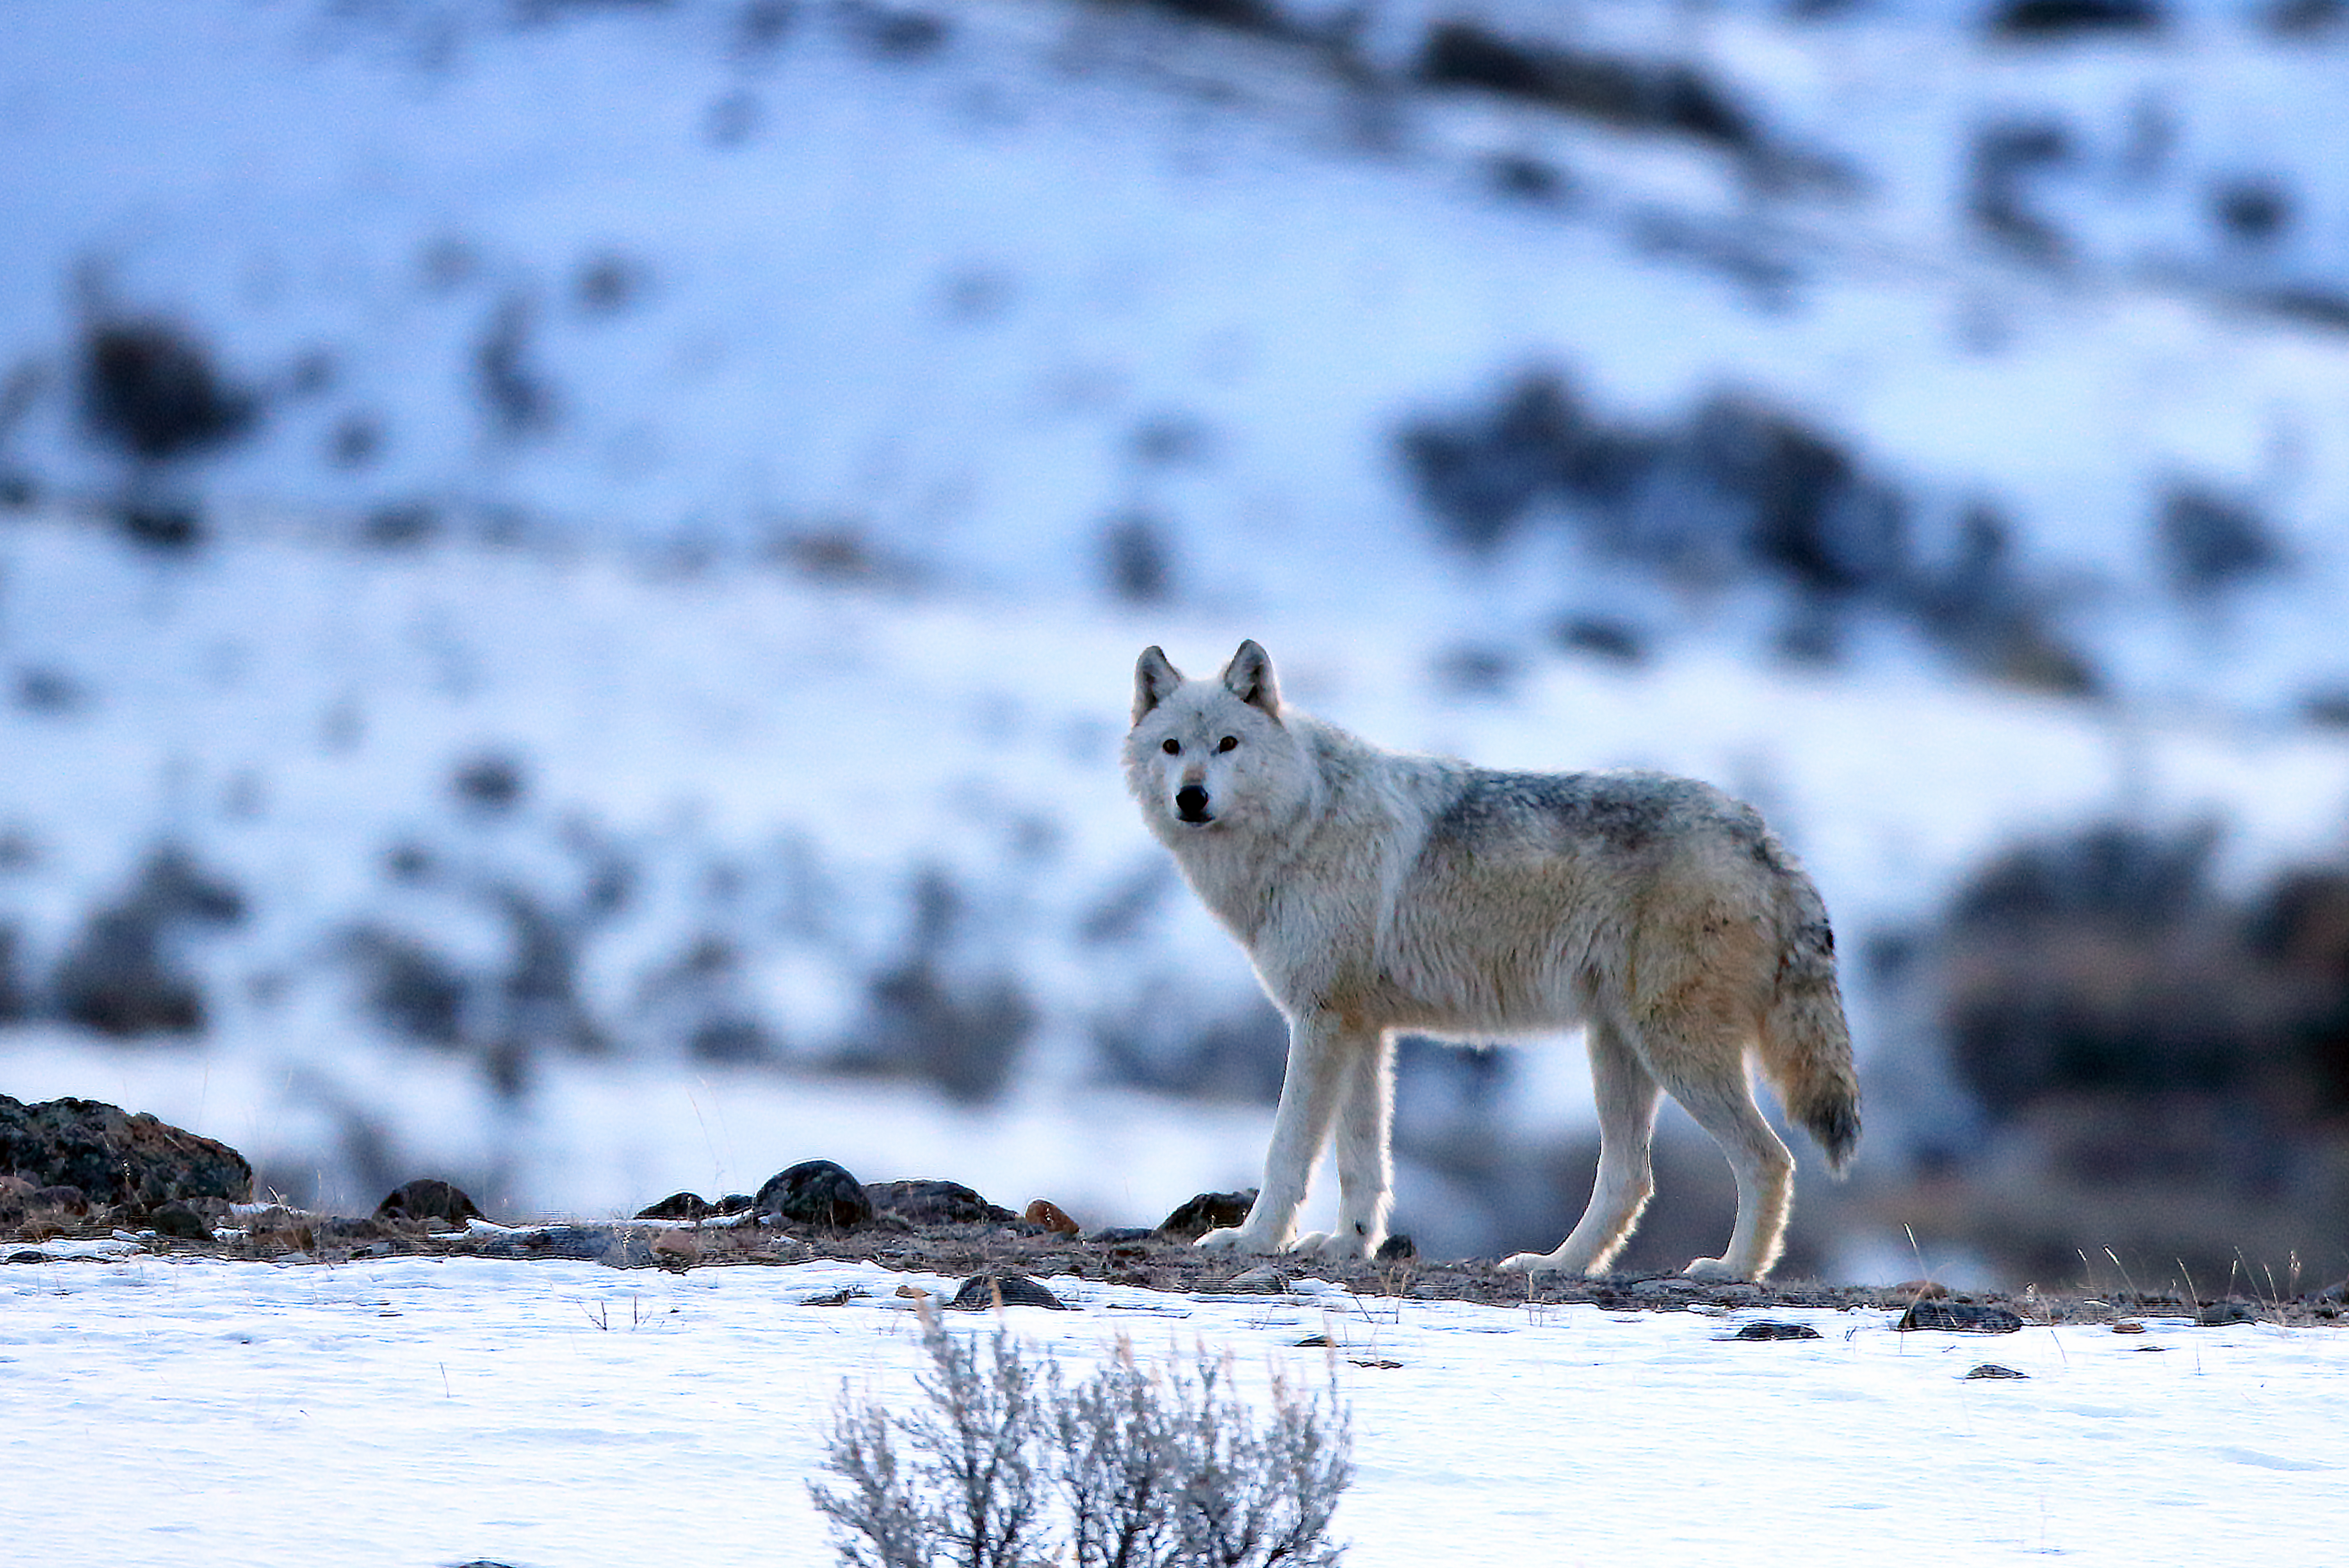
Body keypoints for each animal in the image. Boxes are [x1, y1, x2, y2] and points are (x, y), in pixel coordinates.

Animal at [1124, 640, 1858, 1281]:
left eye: (1228, 745)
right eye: (1172, 747)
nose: (1191, 796)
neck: (1305, 819)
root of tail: (1765, 838)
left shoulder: (1321, 1022)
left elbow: (1288, 1150)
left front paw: (1254, 1239)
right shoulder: (1360, 1028)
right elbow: (1362, 1161)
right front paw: (1348, 1246)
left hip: (1675, 1052)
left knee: (1768, 1160)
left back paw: (1733, 1270)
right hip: (1617, 1049)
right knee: (1631, 1177)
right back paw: (1558, 1264)